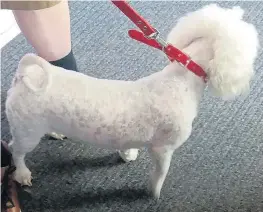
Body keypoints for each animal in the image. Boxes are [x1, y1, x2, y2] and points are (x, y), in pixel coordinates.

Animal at [4, 3, 260, 199]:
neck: (181, 79)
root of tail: (24, 76)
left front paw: (127, 154)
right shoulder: (162, 149)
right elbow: (160, 173)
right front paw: (153, 193)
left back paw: (55, 132)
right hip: (27, 130)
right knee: (16, 151)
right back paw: (22, 173)